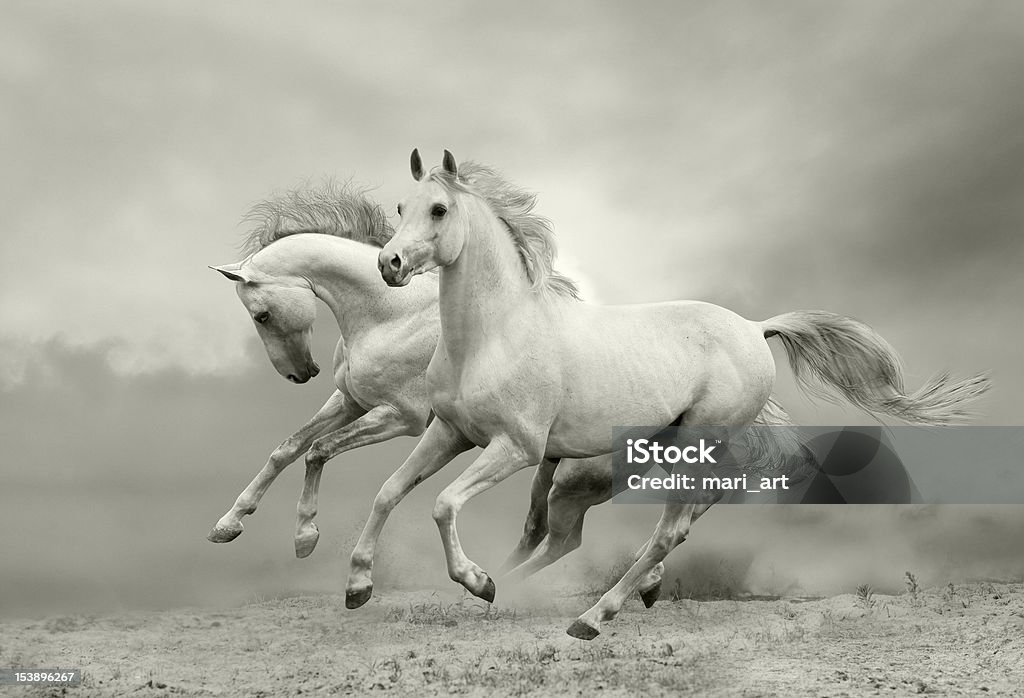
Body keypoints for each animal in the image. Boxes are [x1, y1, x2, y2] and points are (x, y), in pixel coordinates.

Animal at [370, 149, 991, 638]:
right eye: (400, 208)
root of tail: (756, 328)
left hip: (679, 447)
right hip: (669, 449)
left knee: (664, 530)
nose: (388, 263)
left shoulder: (516, 447)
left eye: (439, 209)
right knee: (673, 518)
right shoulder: (451, 432)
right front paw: (358, 585)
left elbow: (443, 503)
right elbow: (389, 493)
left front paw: (477, 581)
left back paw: (591, 616)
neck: (494, 334)